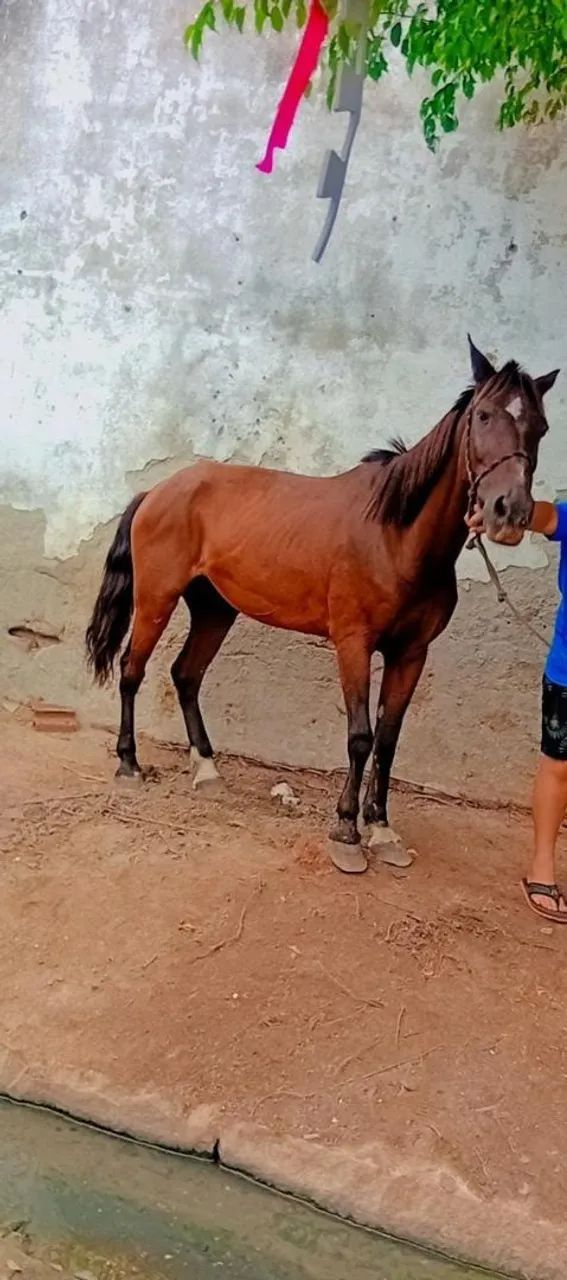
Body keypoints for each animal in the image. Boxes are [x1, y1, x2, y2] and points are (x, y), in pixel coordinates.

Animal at [86, 338, 559, 873]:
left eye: (540, 426)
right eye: (482, 415)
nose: (510, 512)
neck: (395, 537)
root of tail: (157, 491)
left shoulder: (411, 653)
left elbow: (389, 739)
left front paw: (382, 829)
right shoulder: (353, 643)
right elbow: (360, 736)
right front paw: (346, 832)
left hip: (215, 609)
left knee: (186, 675)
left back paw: (206, 770)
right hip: (155, 598)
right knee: (131, 671)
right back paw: (129, 765)